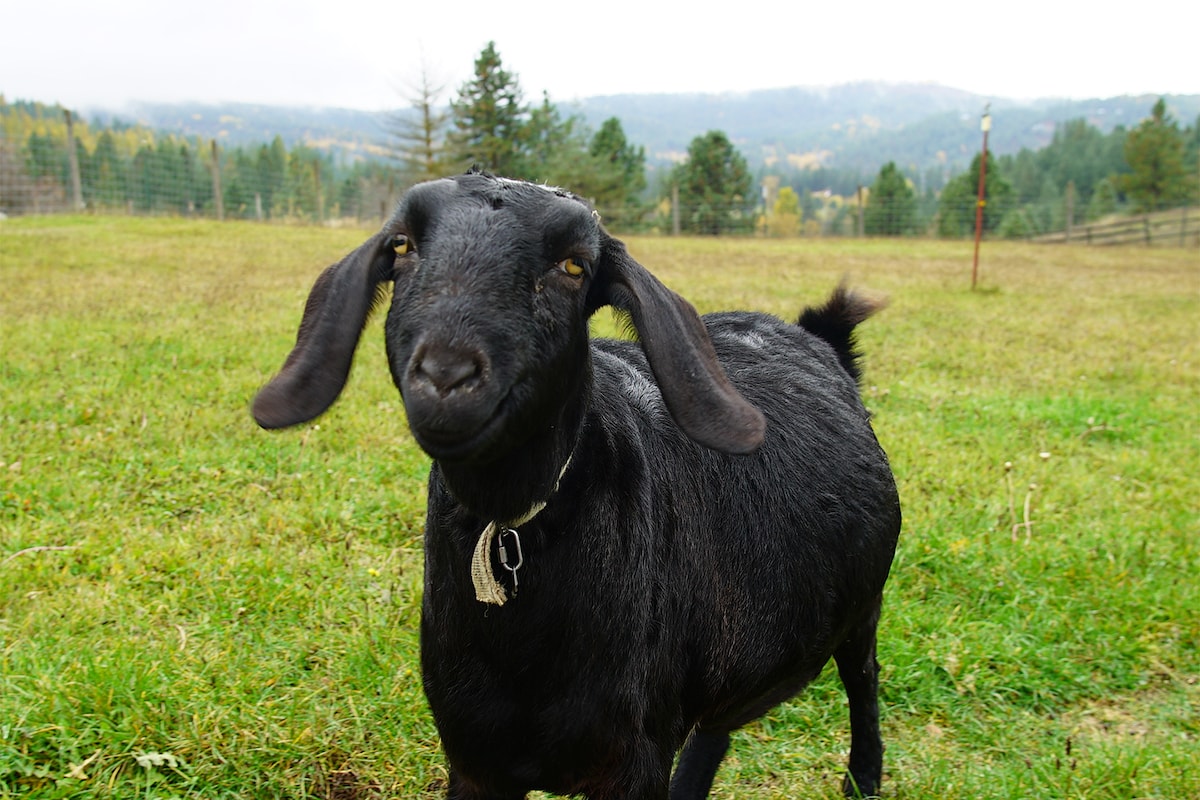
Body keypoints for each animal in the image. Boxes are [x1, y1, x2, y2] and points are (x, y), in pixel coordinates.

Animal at [252, 170, 902, 800]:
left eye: (574, 266)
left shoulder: (633, 760)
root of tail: (816, 338)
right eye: (403, 247)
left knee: (863, 681)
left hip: (862, 609)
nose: (446, 377)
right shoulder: (474, 759)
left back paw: (863, 782)